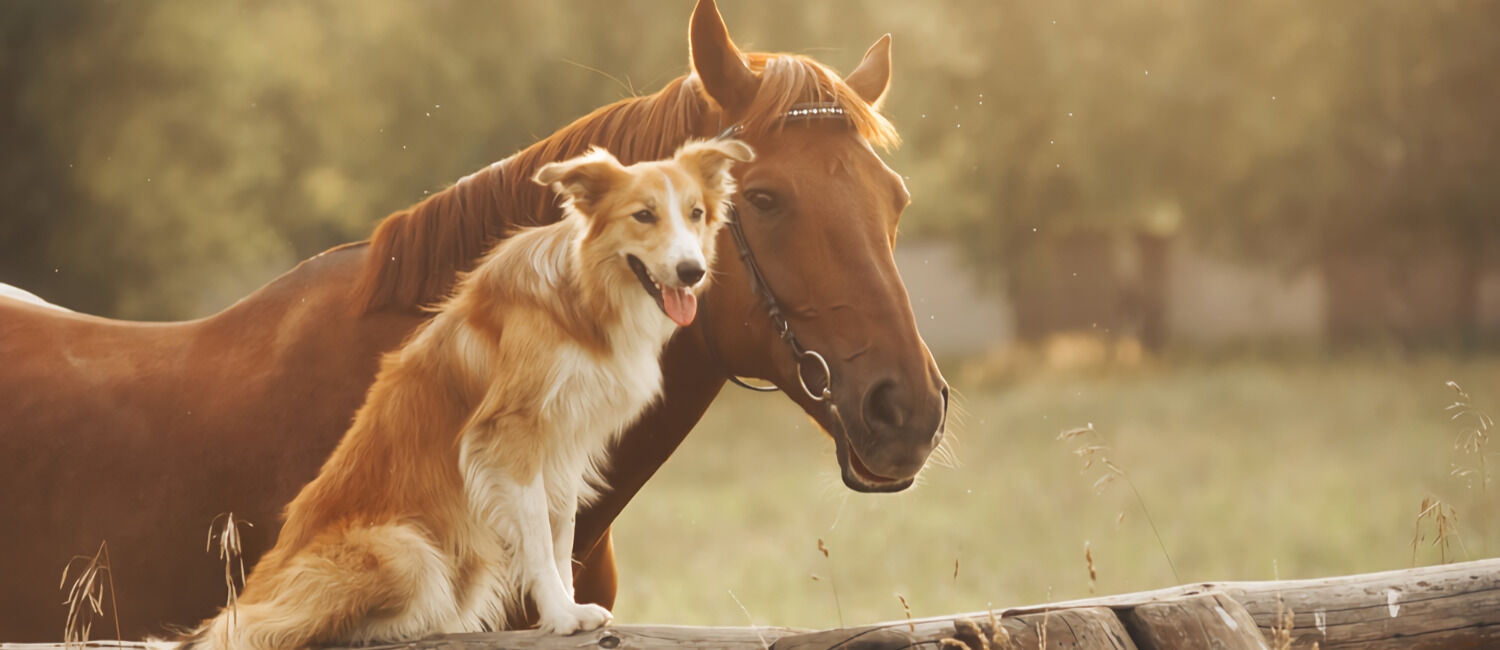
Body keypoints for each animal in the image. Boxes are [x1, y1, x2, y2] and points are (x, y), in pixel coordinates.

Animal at [178, 139, 750, 645]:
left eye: (696, 214)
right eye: (644, 216)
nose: (692, 271)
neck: (583, 298)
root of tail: (256, 591)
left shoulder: (564, 443)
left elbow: (560, 532)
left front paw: (567, 606)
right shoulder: (511, 436)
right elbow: (538, 537)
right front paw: (562, 616)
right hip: (408, 551)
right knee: (262, 632)